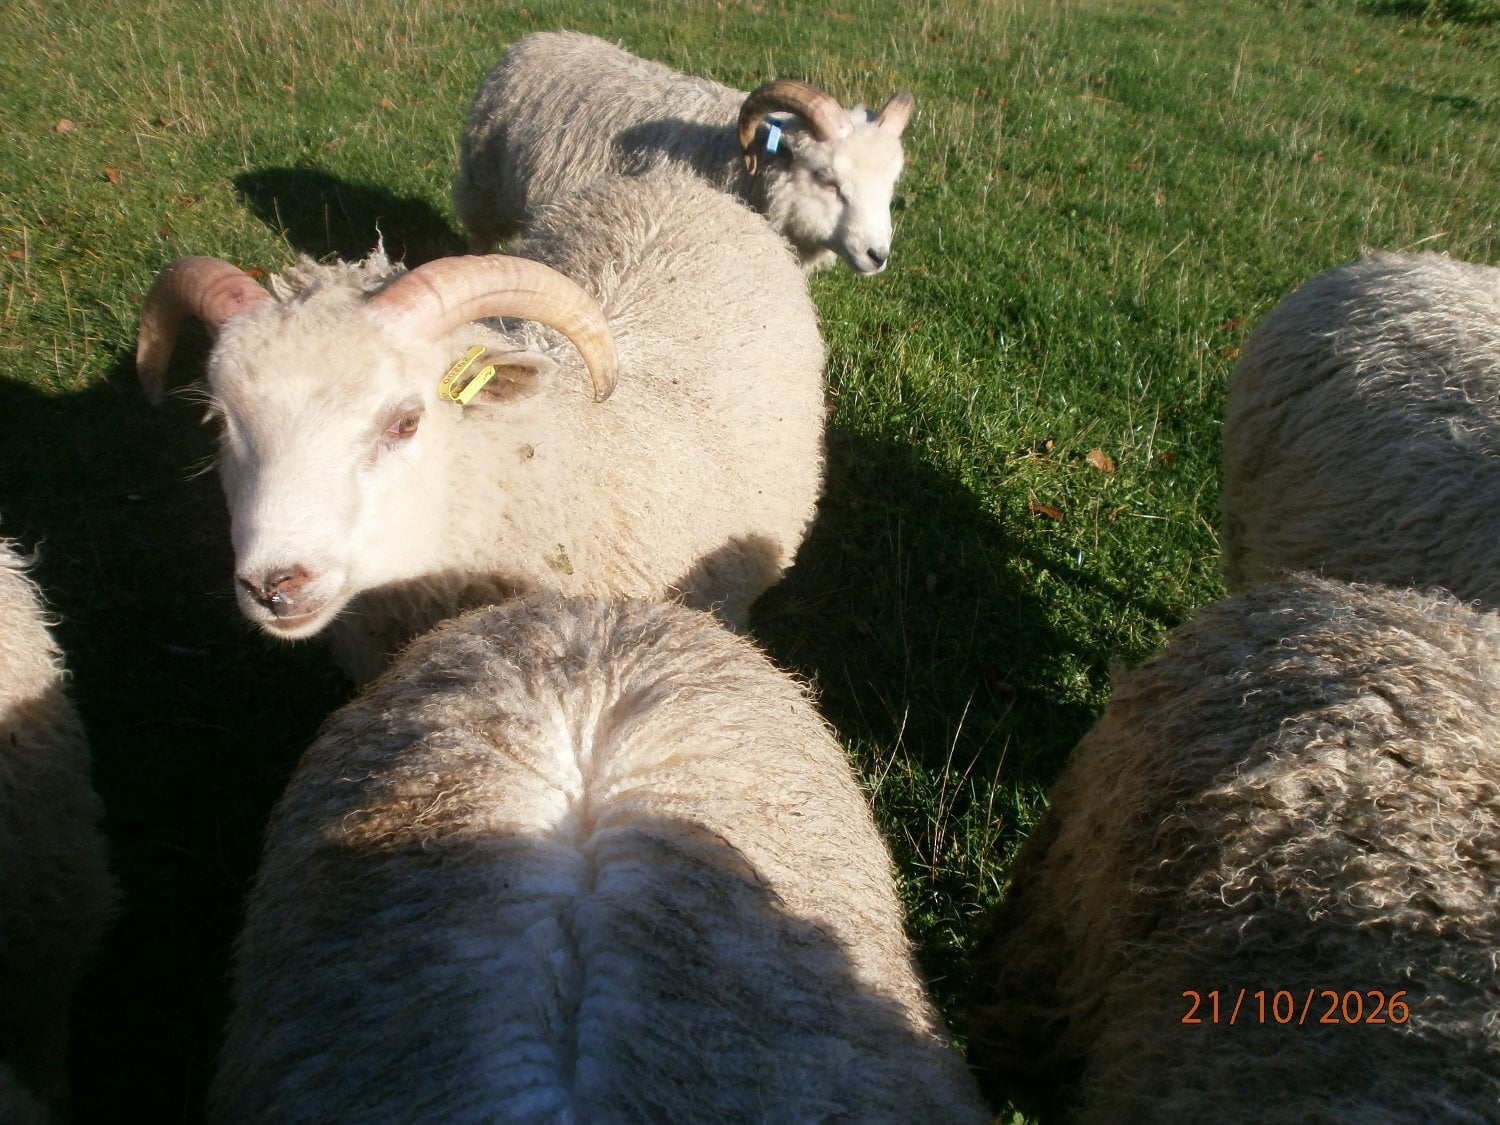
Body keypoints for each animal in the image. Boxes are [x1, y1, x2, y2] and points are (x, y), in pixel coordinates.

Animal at [452, 30, 915, 275]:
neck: (739, 163)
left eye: (890, 188)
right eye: (826, 179)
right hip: (483, 183)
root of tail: (540, 39)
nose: (878, 255)